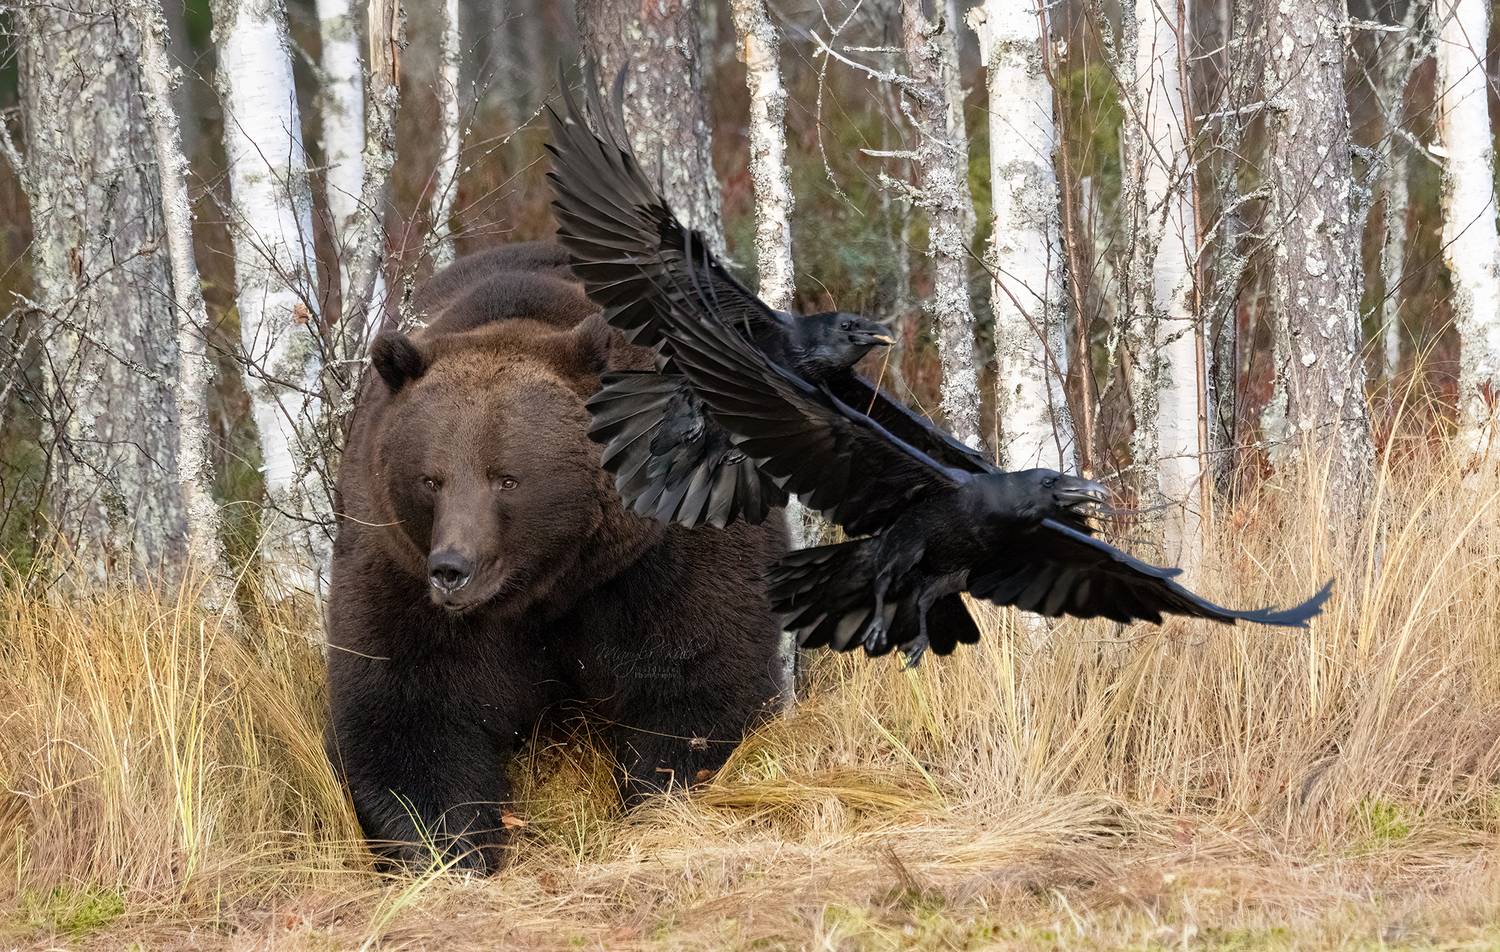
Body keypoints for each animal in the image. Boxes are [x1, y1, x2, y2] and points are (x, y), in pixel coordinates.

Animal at [325, 242, 788, 872]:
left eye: (507, 478)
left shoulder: (659, 550)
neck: (548, 583)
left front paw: (658, 801)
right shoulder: (395, 560)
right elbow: (408, 712)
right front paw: (447, 847)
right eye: (430, 479)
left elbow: (699, 672)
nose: (452, 569)